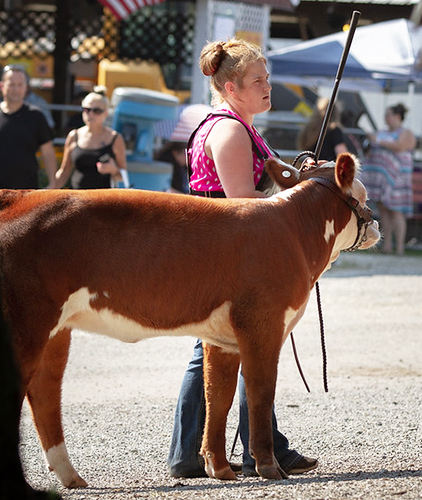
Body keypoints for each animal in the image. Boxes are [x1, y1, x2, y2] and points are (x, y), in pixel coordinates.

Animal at [0, 153, 380, 488]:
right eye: (363, 194)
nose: (376, 222)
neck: (293, 228)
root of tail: (18, 194)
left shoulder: (222, 338)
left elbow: (218, 397)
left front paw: (219, 469)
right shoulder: (264, 323)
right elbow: (260, 393)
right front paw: (269, 468)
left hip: (56, 330)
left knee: (45, 392)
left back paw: (71, 477)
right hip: (27, 322)